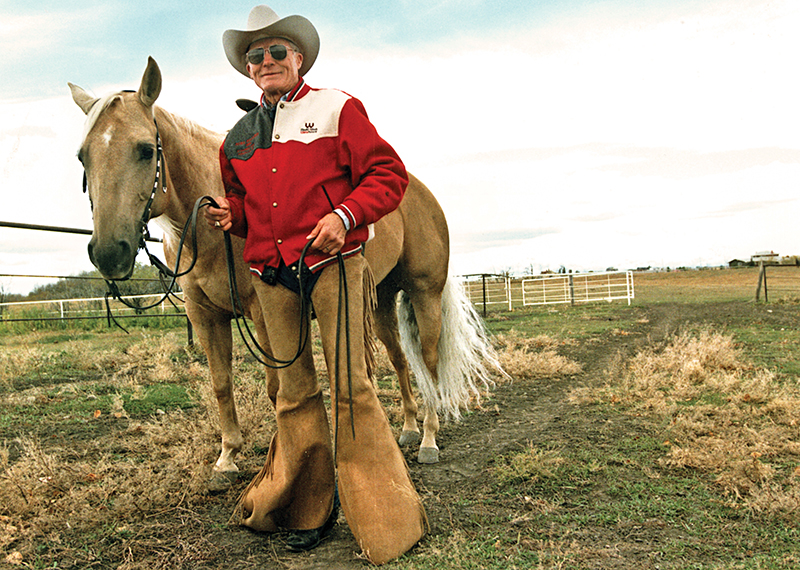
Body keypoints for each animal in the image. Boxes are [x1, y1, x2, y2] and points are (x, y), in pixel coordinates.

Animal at [69, 57, 500, 481]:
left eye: (145, 150)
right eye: (82, 156)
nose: (109, 251)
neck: (210, 235)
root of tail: (421, 192)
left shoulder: (262, 313)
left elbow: (276, 388)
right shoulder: (205, 316)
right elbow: (221, 384)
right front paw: (227, 458)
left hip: (423, 293)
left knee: (428, 361)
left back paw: (428, 437)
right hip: (379, 302)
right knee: (398, 359)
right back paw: (409, 429)